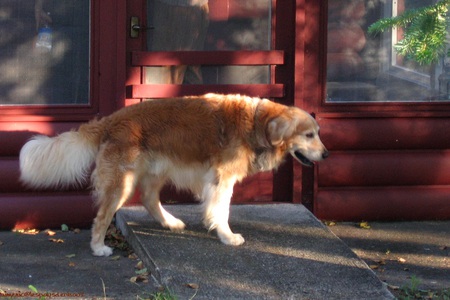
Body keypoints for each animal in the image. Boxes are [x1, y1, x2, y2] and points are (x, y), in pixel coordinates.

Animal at [19, 93, 328, 255]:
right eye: (309, 135)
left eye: (318, 133)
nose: (326, 155)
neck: (256, 123)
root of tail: (111, 119)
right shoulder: (222, 178)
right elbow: (222, 211)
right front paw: (227, 236)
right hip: (122, 183)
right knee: (103, 215)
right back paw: (98, 247)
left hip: (157, 170)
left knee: (148, 199)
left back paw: (170, 222)